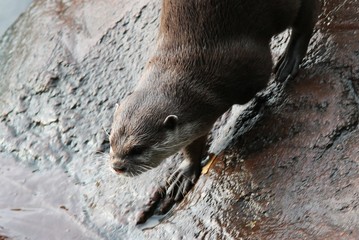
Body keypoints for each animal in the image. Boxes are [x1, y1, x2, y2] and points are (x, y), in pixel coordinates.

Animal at [109, 0, 318, 202]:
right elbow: (192, 144)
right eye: (110, 142)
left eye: (137, 149)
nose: (117, 166)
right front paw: (185, 171)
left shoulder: (253, 64)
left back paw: (289, 59)